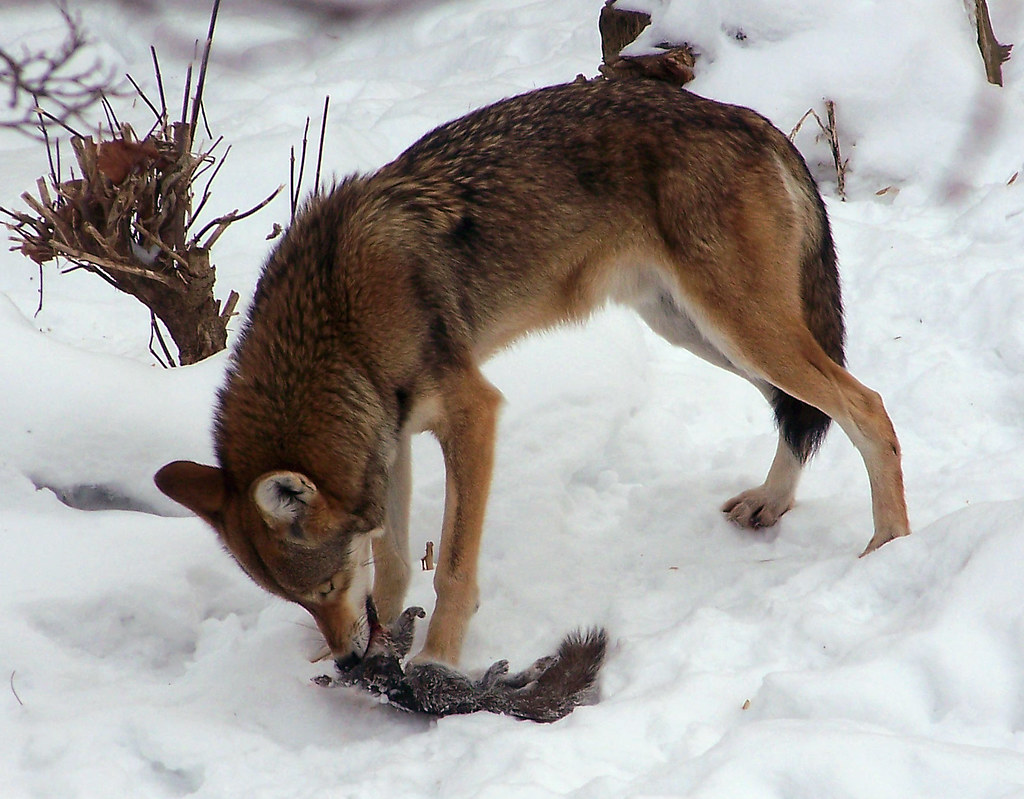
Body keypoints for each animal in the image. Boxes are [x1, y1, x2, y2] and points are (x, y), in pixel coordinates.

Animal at [155, 77, 910, 667]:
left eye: (322, 589)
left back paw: (892, 546)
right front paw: (384, 641)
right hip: (699, 332)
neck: (340, 322)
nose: (348, 660)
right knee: (805, 412)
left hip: (743, 330)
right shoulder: (390, 437)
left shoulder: (472, 413)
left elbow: (453, 569)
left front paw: (435, 662)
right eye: (305, 600)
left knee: (866, 404)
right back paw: (772, 502)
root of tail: (752, 118)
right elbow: (394, 563)